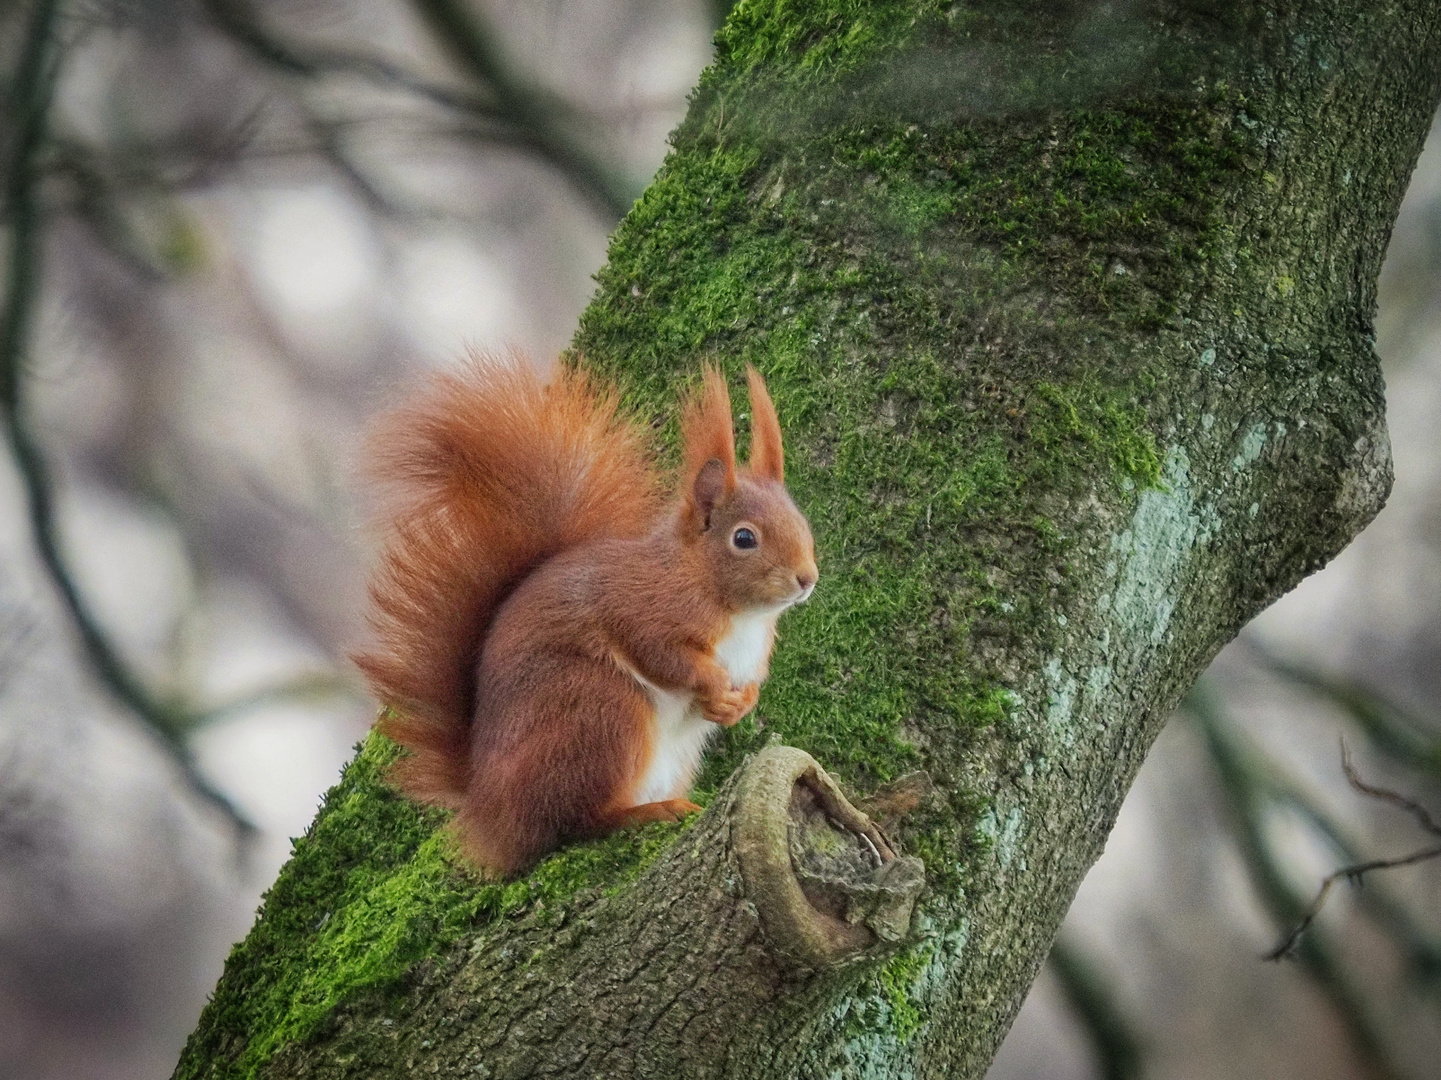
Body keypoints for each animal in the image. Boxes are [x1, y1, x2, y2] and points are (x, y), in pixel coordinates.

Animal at [353, 353, 818, 876]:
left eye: (801, 521)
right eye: (744, 538)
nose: (807, 578)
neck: (736, 610)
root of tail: (487, 810)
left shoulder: (754, 655)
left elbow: (752, 682)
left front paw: (739, 705)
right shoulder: (641, 610)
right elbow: (664, 657)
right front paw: (715, 687)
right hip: (600, 713)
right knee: (574, 823)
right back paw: (646, 812)